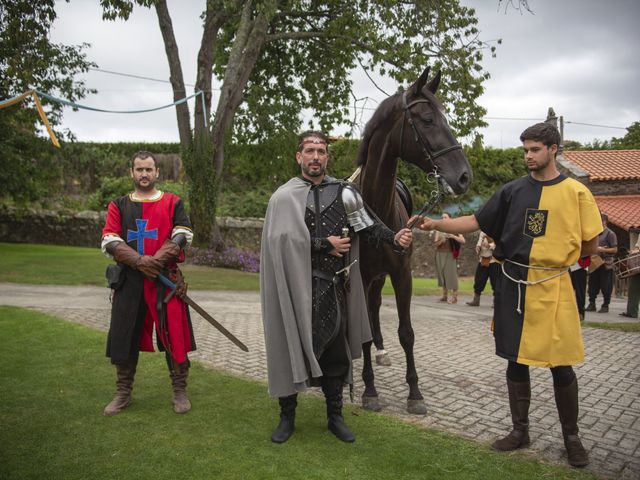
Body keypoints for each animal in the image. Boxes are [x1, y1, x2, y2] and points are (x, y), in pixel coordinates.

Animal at [352, 66, 472, 412]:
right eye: (428, 120)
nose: (463, 176)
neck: (376, 208)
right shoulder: (360, 275)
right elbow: (363, 329)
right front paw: (369, 391)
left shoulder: (401, 274)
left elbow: (406, 333)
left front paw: (415, 393)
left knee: (376, 309)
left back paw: (381, 352)